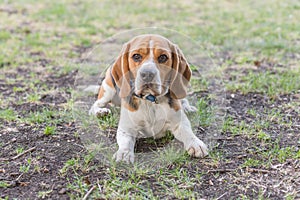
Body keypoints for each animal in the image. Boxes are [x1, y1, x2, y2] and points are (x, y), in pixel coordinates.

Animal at [88, 34, 209, 162]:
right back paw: (100, 112)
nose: (147, 74)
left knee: (183, 99)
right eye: (136, 56)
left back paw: (187, 107)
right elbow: (125, 141)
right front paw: (124, 153)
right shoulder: (126, 128)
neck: (150, 100)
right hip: (108, 89)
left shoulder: (179, 122)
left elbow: (187, 132)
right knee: (95, 105)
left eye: (163, 57)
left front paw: (196, 144)